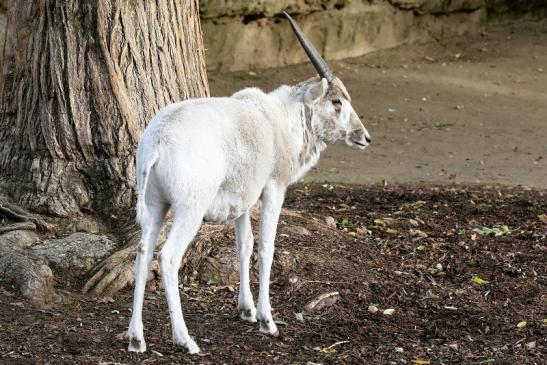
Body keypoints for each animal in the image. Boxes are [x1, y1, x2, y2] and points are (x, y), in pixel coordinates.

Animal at [126, 11, 370, 352]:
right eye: (337, 102)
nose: (364, 137)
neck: (279, 119)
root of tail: (157, 141)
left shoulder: (241, 201)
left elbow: (245, 245)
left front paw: (247, 310)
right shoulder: (273, 189)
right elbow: (266, 246)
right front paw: (267, 320)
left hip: (155, 205)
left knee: (142, 251)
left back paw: (136, 338)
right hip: (189, 209)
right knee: (168, 257)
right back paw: (185, 339)